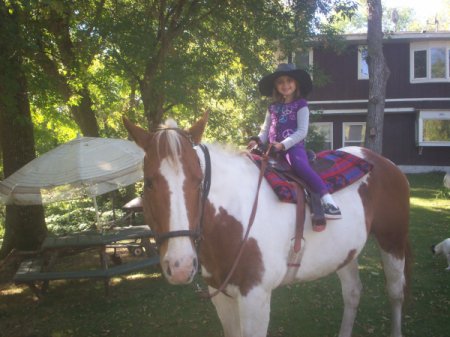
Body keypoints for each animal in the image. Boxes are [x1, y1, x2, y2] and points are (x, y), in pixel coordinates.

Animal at [123, 113, 412, 336]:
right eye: (148, 182)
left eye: (198, 180)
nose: (180, 266)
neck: (234, 219)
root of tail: (384, 162)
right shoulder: (221, 295)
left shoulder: (256, 298)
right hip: (345, 252)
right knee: (352, 292)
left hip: (393, 240)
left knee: (396, 291)